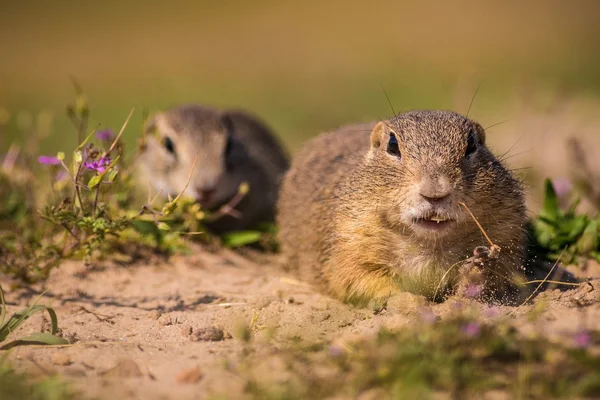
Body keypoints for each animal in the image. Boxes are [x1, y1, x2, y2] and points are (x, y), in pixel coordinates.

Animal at [278, 109, 528, 304]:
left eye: (472, 145)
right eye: (392, 145)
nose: (435, 192)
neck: (430, 247)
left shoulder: (506, 229)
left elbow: (501, 275)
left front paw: (477, 269)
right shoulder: (350, 238)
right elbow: (357, 278)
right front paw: (404, 301)